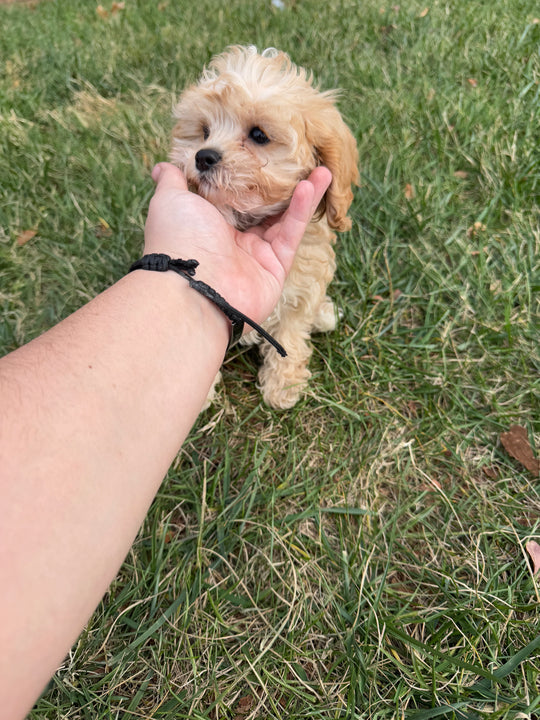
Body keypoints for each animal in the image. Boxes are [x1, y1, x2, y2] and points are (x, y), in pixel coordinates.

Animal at [172, 46, 358, 410]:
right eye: (204, 131)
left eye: (259, 135)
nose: (202, 156)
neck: (248, 218)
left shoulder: (302, 290)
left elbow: (291, 333)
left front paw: (283, 384)